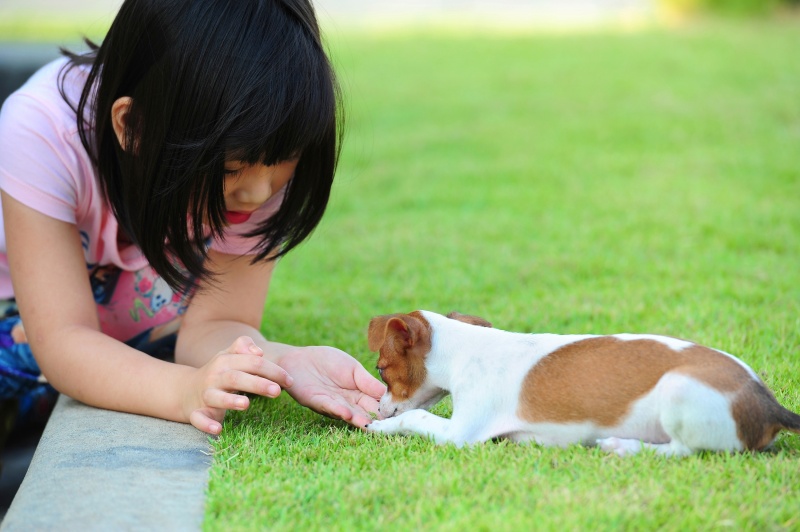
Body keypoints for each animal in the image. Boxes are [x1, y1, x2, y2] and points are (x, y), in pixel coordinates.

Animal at [366, 312, 796, 458]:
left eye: (381, 370)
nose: (377, 408)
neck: (466, 348)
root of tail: (769, 405)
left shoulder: (460, 433)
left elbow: (416, 417)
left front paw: (381, 426)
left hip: (678, 389)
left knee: (683, 450)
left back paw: (624, 447)